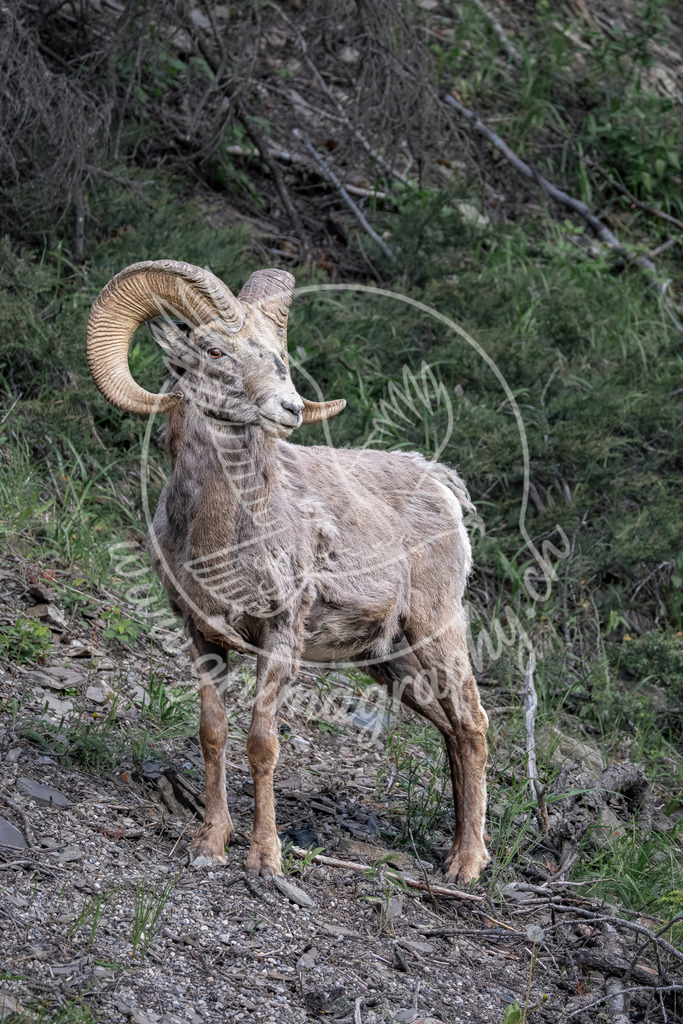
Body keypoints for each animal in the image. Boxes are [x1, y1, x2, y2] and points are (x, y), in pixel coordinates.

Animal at [87, 260, 489, 883]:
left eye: (277, 354)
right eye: (215, 351)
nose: (291, 408)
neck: (219, 537)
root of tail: (442, 485)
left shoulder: (279, 638)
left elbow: (262, 743)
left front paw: (264, 859)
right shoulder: (202, 637)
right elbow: (212, 733)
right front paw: (210, 843)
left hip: (437, 630)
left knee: (472, 724)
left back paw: (466, 866)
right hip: (390, 661)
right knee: (449, 729)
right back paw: (452, 852)